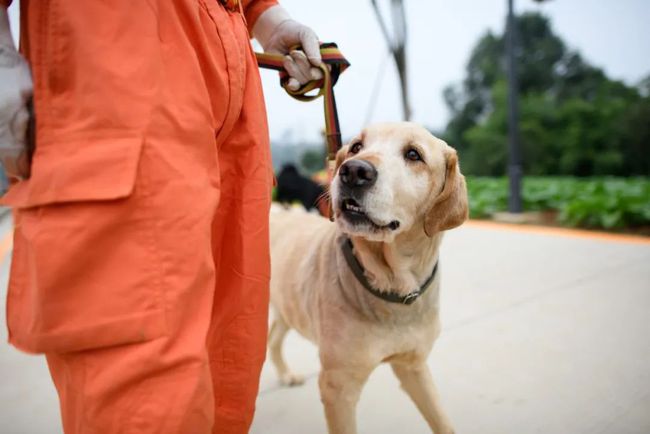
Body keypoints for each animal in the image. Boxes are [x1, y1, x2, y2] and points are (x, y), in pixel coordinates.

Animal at [268, 122, 466, 434]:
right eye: (356, 147)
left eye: (414, 154)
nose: (353, 171)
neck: (395, 286)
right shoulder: (338, 387)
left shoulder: (413, 365)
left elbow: (442, 421)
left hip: (287, 306)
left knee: (272, 338)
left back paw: (286, 374)